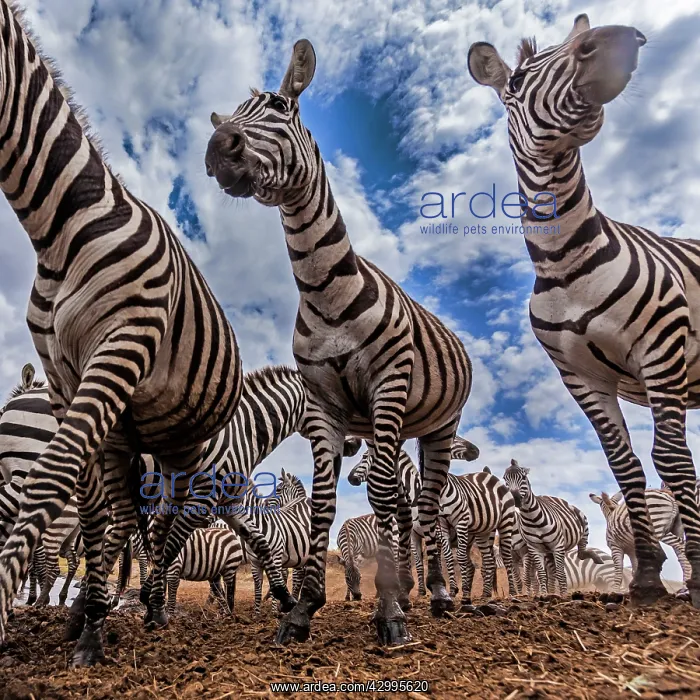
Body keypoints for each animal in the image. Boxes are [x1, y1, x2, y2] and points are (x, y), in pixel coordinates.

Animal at [0, 2, 250, 667]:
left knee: (163, 525)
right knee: (120, 515)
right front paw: (86, 623)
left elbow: (50, 480)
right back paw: (91, 614)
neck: (59, 228)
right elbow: (86, 508)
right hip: (127, 430)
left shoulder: (123, 341)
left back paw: (156, 609)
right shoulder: (64, 379)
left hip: (183, 446)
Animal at [206, 41, 473, 645]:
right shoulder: (325, 405)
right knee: (402, 504)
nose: (217, 148)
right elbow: (325, 502)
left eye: (280, 105)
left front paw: (391, 612)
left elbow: (382, 495)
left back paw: (437, 595)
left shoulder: (389, 384)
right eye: (228, 113)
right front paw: (302, 609)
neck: (323, 289)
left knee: (422, 507)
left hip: (438, 424)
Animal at [503, 460, 602, 596]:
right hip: (548, 552)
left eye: (523, 477)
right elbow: (542, 575)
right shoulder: (535, 549)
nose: (516, 499)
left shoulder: (557, 546)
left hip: (580, 530)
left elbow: (560, 574)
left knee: (580, 554)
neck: (532, 518)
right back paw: (551, 592)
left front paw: (563, 595)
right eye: (505, 479)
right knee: (551, 573)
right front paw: (544, 595)